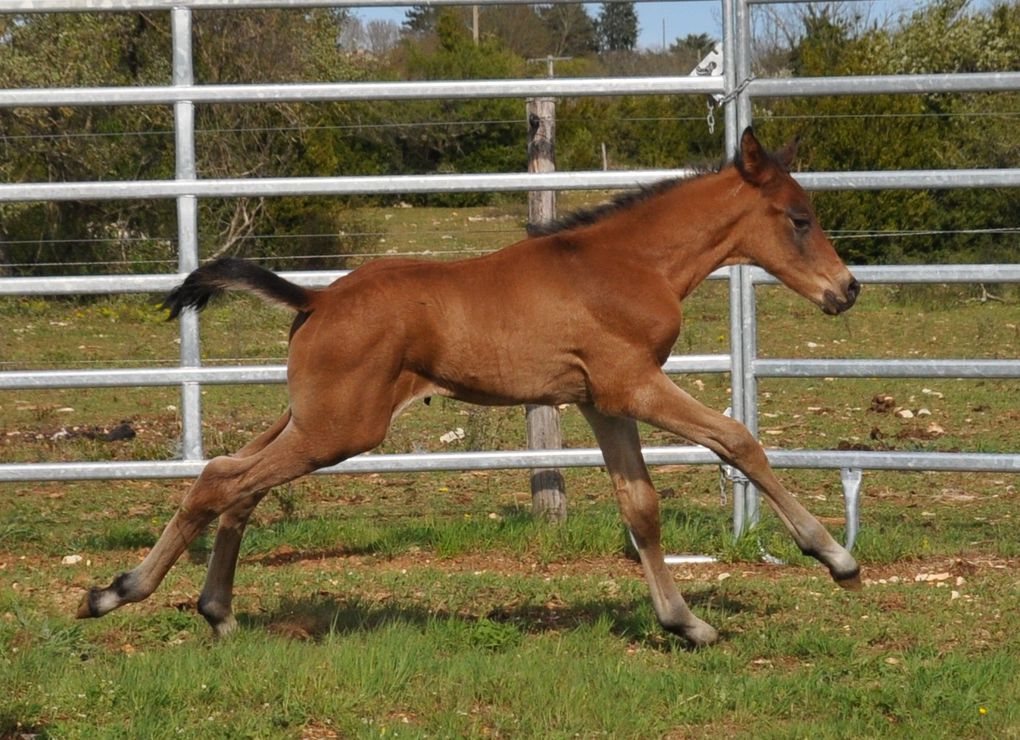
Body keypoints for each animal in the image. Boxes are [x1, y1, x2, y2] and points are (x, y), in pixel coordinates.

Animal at [77, 128, 860, 645]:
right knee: (223, 480)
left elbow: (640, 508)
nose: (847, 290)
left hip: (309, 417)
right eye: (799, 219)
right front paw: (835, 558)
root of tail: (316, 299)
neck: (627, 263)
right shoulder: (634, 385)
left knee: (233, 481)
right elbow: (738, 441)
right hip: (340, 427)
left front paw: (685, 623)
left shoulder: (601, 402)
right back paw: (117, 594)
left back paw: (207, 607)